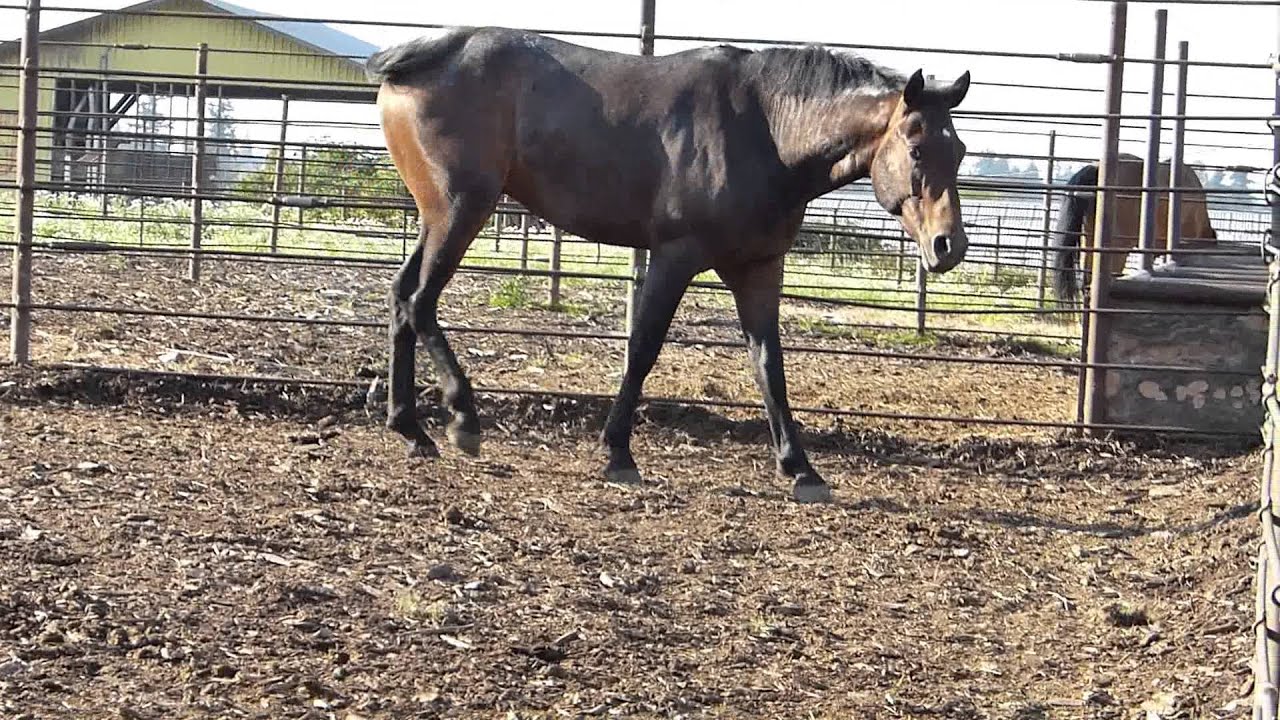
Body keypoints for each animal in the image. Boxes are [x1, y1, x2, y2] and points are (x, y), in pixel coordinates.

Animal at [366, 26, 972, 504]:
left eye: (960, 151)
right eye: (917, 149)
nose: (949, 247)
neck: (766, 129)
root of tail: (414, 59)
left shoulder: (759, 268)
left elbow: (769, 365)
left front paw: (801, 470)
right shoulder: (674, 257)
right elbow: (643, 348)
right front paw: (618, 454)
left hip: (437, 217)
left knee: (401, 298)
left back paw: (411, 429)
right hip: (461, 211)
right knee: (420, 302)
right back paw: (463, 419)